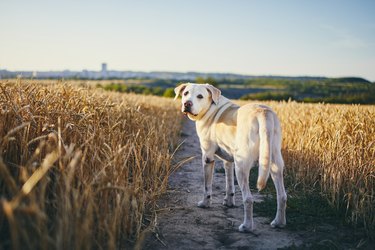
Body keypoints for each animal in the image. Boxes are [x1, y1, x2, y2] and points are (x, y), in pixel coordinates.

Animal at [174, 83, 288, 231]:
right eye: (185, 93)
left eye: (200, 96)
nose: (187, 104)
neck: (210, 108)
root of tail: (263, 113)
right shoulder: (228, 160)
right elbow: (229, 184)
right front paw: (229, 202)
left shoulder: (207, 157)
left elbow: (207, 187)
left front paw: (205, 203)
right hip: (274, 164)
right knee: (282, 196)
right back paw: (279, 222)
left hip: (241, 167)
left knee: (248, 199)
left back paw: (247, 226)